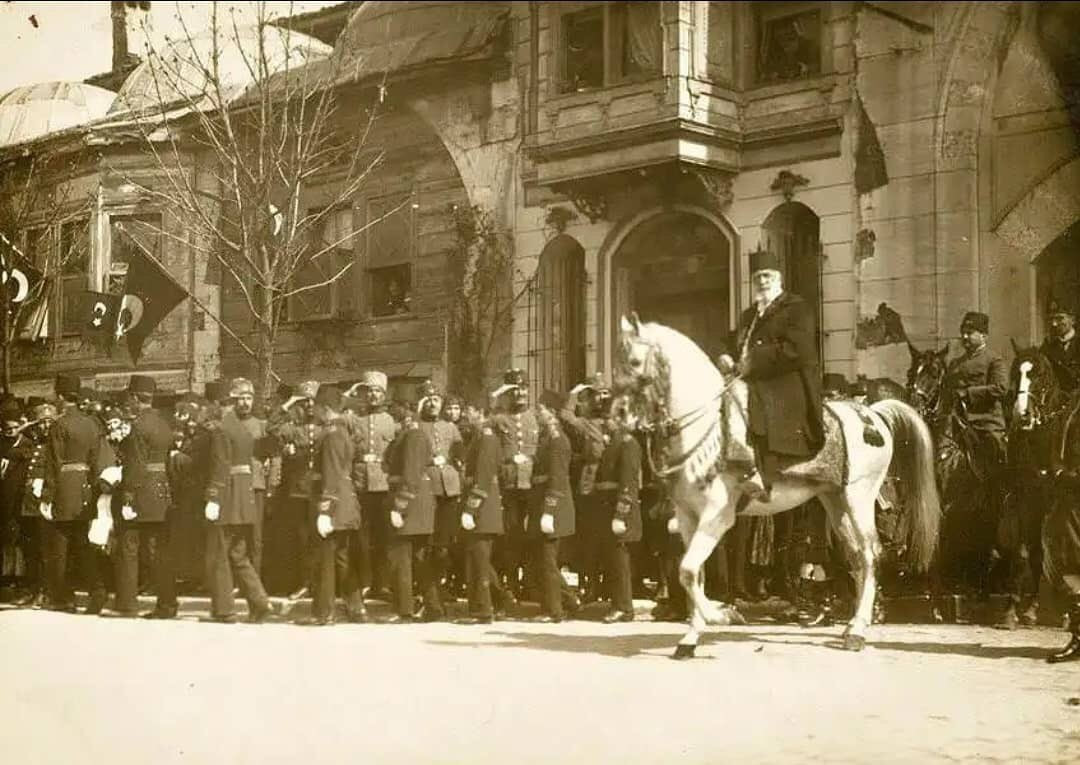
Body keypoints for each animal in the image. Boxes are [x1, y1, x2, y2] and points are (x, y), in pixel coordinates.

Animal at [613, 315, 941, 656]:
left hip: (859, 498)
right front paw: (691, 637)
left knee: (870, 554)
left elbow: (688, 571)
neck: (705, 428)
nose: (617, 415)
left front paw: (723, 615)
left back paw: (858, 630)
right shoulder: (688, 517)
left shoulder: (718, 515)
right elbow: (692, 574)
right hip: (834, 500)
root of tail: (872, 414)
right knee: (855, 557)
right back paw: (851, 624)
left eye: (634, 362)